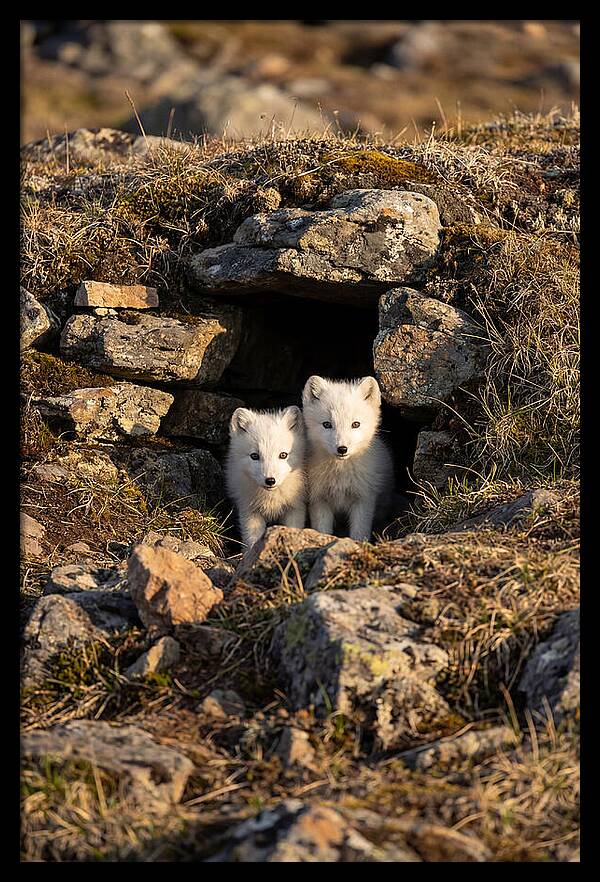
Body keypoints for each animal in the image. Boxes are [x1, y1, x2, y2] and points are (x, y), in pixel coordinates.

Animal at [226, 406, 307, 549]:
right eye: (254, 456)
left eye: (283, 455)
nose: (270, 480)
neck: (271, 499)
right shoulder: (250, 512)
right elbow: (251, 541)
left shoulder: (296, 508)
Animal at [302, 375, 394, 541]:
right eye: (327, 424)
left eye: (355, 424)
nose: (342, 449)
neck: (340, 475)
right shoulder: (318, 499)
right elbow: (323, 530)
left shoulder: (364, 499)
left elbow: (359, 532)